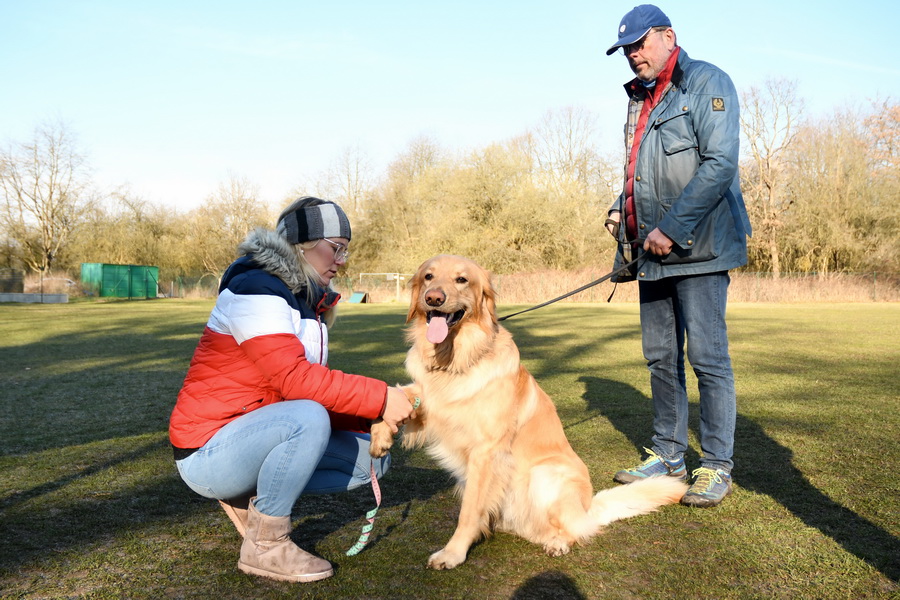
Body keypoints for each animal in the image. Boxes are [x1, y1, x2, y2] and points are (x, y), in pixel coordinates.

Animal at [370, 254, 684, 572]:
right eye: (428, 277)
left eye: (461, 279)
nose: (433, 298)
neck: (457, 359)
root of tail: (588, 507)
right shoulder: (433, 405)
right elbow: (402, 393)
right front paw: (379, 437)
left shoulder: (486, 451)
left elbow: (469, 512)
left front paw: (453, 552)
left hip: (544, 474)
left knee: (574, 529)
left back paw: (558, 542)